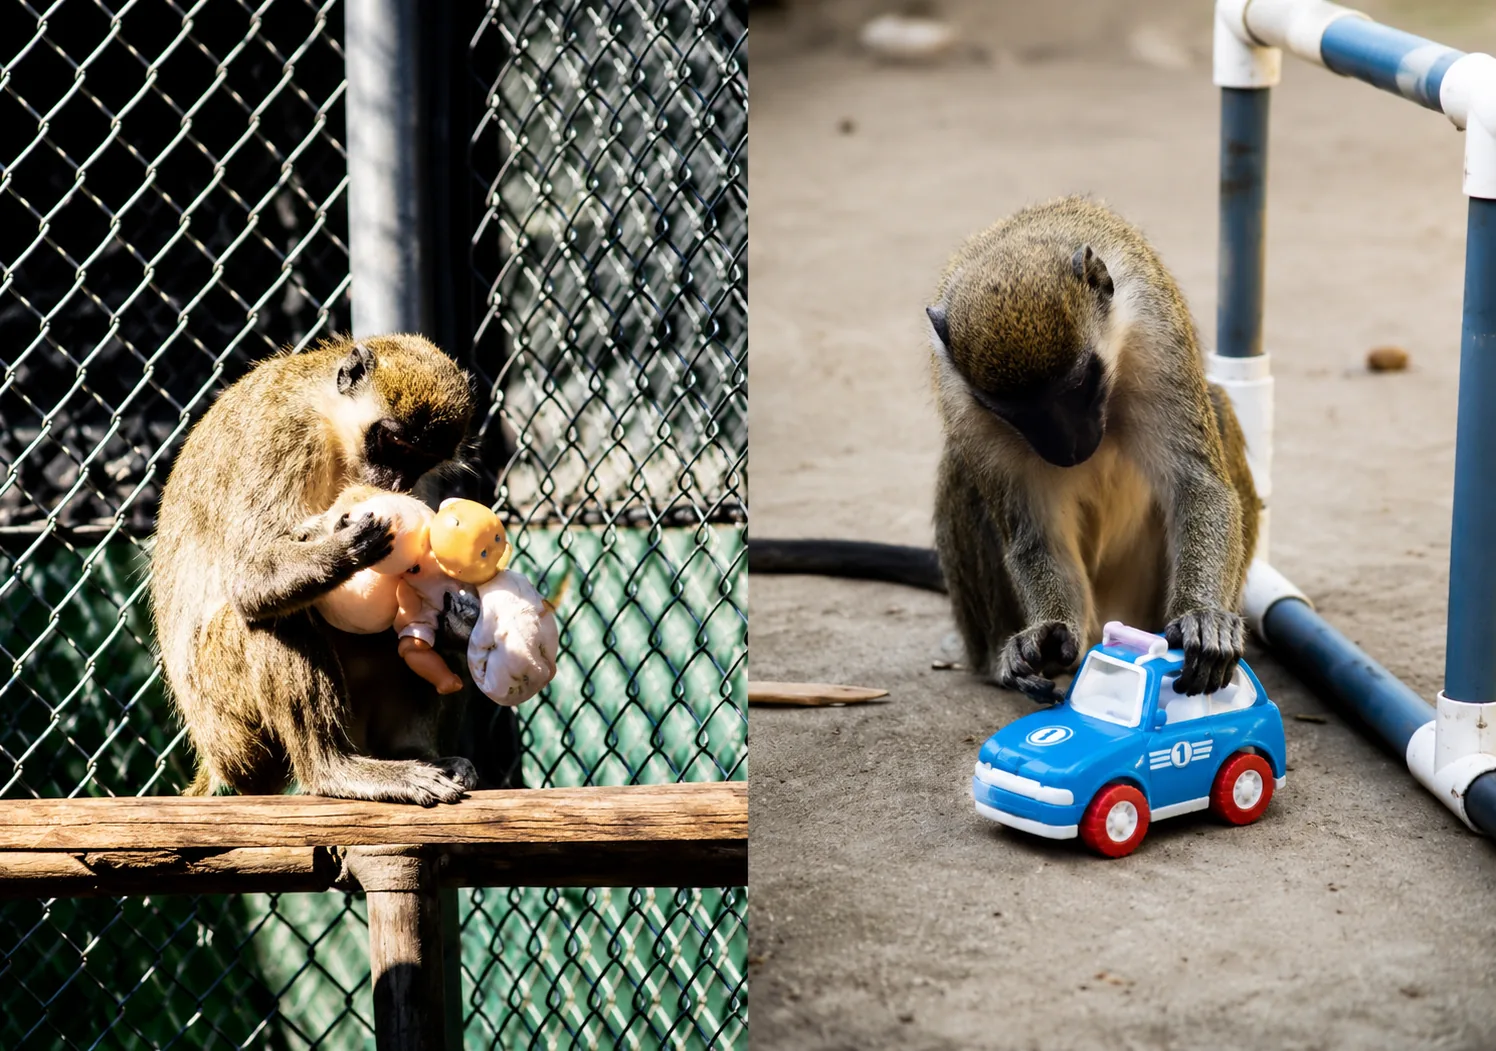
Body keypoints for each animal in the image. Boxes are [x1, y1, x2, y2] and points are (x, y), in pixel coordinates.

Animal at [150, 334, 485, 805]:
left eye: (421, 459)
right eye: (394, 444)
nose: (396, 483)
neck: (327, 419)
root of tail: (217, 761)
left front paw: (456, 616)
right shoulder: (281, 434)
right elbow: (249, 580)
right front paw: (348, 546)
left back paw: (414, 751)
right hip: (230, 722)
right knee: (274, 618)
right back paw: (332, 769)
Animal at [751, 196, 1258, 700]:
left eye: (1080, 386)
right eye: (1014, 411)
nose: (1071, 449)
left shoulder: (1156, 336)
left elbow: (1197, 486)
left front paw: (1201, 617)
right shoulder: (966, 404)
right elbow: (1034, 535)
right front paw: (1048, 632)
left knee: (1217, 405)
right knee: (961, 468)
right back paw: (1002, 658)